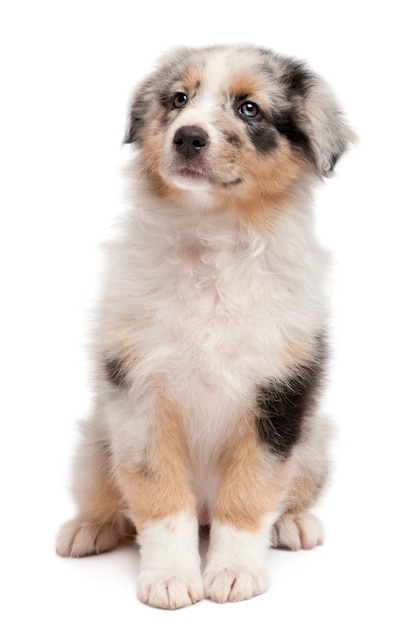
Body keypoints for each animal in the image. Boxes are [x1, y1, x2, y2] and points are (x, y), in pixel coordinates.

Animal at [56, 45, 354, 608]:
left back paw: (294, 524)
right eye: (178, 99)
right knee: (111, 497)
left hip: (314, 440)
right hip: (95, 443)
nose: (188, 136)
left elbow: (251, 491)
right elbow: (157, 494)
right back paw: (90, 527)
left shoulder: (278, 394)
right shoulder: (139, 391)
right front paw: (170, 577)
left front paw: (234, 572)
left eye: (249, 109)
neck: (212, 235)